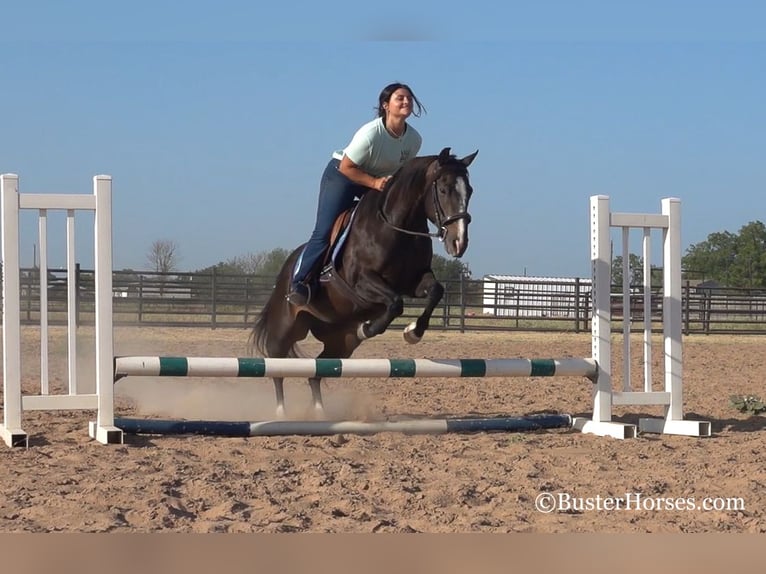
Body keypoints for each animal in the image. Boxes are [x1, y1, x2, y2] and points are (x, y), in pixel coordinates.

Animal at [252, 147, 480, 418]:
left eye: (470, 191)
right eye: (444, 189)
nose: (459, 243)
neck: (396, 226)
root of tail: (286, 269)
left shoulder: (414, 281)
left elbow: (435, 291)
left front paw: (413, 332)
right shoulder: (361, 283)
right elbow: (395, 303)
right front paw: (369, 327)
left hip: (340, 342)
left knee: (317, 372)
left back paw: (319, 412)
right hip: (287, 326)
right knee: (277, 365)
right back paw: (281, 413)